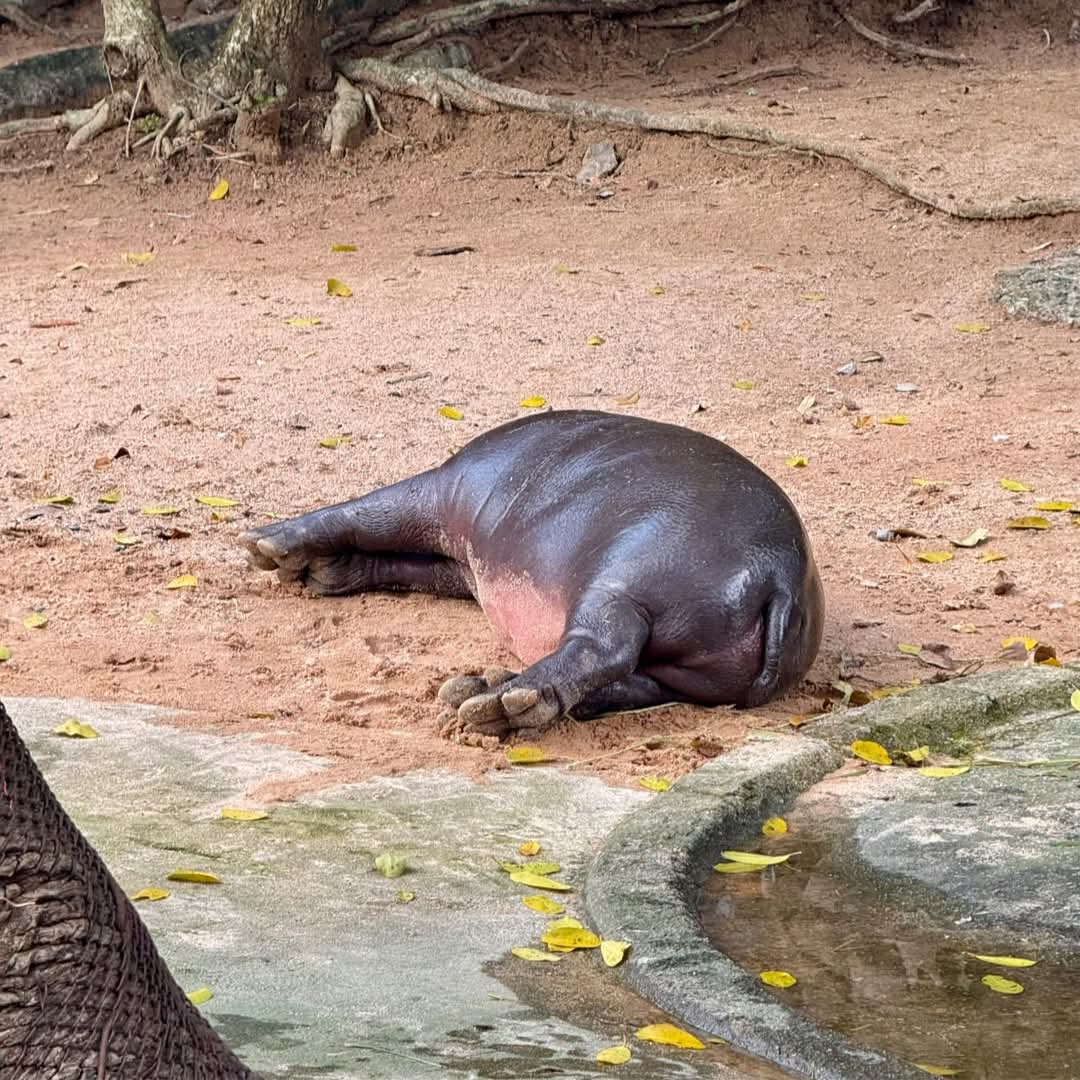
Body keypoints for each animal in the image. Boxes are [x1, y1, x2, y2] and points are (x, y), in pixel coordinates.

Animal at [241, 410, 824, 740]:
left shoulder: (446, 490)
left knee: (601, 649)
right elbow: (406, 561)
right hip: (690, 673)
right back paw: (482, 687)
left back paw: (493, 703)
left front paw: (265, 545)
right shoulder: (468, 566)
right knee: (629, 682)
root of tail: (779, 571)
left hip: (618, 583)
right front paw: (322, 569)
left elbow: (373, 514)